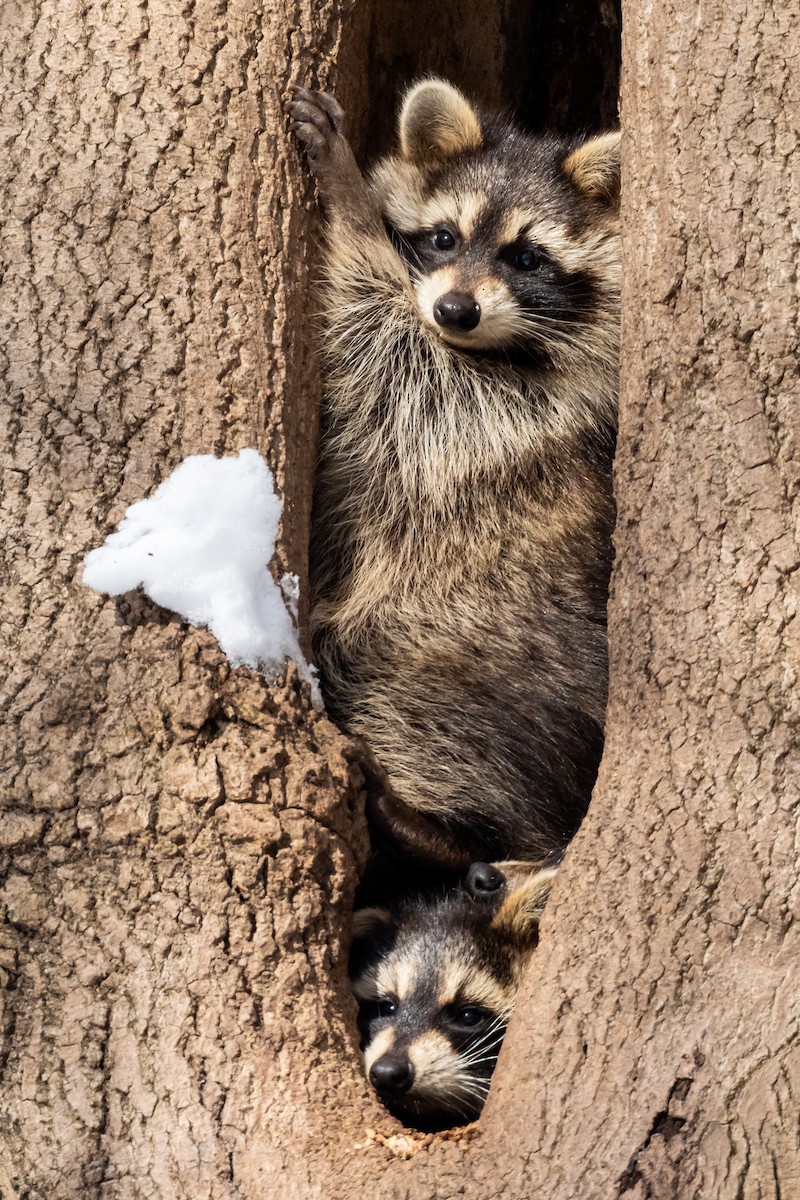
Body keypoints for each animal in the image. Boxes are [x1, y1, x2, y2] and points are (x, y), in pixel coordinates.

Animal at [289, 81, 620, 865]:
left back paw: (442, 830)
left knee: (411, 686)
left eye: (527, 258)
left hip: (483, 649)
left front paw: (349, 200)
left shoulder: (510, 411)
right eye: (443, 237)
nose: (455, 310)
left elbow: (383, 339)